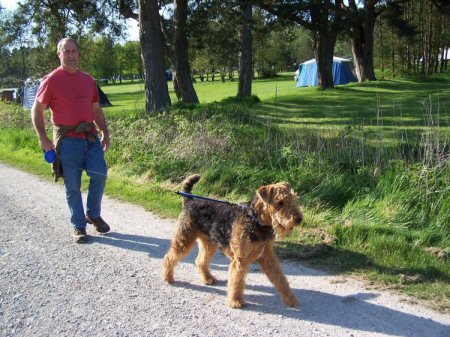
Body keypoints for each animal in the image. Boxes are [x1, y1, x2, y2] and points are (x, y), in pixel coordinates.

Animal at [162, 175, 302, 308]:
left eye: (294, 198)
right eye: (280, 202)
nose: (299, 219)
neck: (256, 220)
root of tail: (190, 200)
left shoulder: (268, 256)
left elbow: (280, 279)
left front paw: (291, 300)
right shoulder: (240, 260)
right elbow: (237, 281)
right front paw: (236, 302)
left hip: (209, 243)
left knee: (200, 261)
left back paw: (208, 279)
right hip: (184, 239)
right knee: (169, 257)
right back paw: (168, 278)